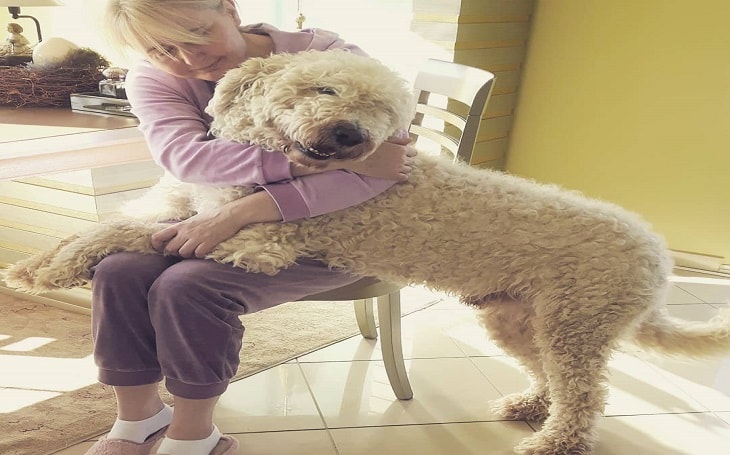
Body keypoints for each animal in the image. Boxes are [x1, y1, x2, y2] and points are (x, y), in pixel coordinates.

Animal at [5, 48, 728, 454]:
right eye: (325, 89)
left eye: (383, 110)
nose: (354, 135)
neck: (269, 161)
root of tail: (658, 257)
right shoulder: (183, 205)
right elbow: (105, 231)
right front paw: (38, 265)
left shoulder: (252, 240)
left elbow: (146, 239)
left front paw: (50, 267)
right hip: (520, 320)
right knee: (551, 375)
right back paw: (528, 407)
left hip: (576, 325)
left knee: (585, 396)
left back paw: (555, 440)